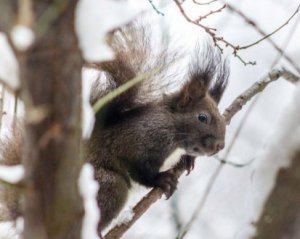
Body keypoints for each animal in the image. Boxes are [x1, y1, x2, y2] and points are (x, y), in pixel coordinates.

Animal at [0, 22, 229, 233]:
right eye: (202, 117)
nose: (220, 145)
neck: (172, 128)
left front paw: (188, 159)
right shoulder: (139, 139)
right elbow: (138, 169)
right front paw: (161, 180)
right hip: (107, 185)